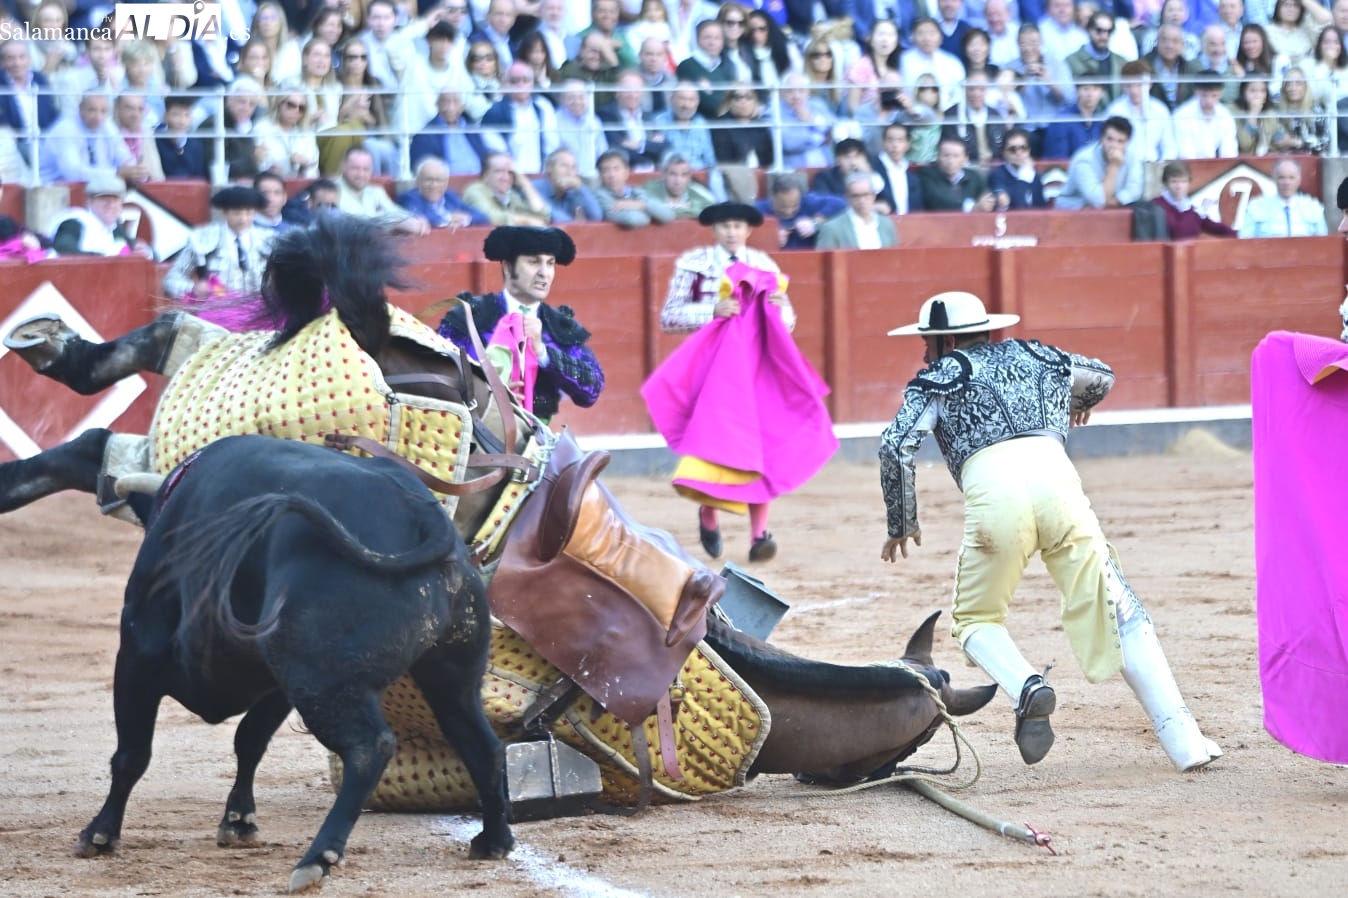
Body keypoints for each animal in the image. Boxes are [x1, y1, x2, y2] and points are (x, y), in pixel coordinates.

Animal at [0, 215, 998, 815]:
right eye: (908, 740)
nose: (866, 774)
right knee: (126, 422)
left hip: (211, 416)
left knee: (121, 417)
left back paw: (45, 371)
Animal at [75, 435, 514, 892]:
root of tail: (419, 514)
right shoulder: (276, 683)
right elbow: (249, 740)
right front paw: (238, 821)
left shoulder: (137, 655)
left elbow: (132, 754)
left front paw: (100, 834)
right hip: (451, 676)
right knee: (482, 745)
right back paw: (493, 841)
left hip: (318, 678)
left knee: (370, 747)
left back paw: (316, 858)